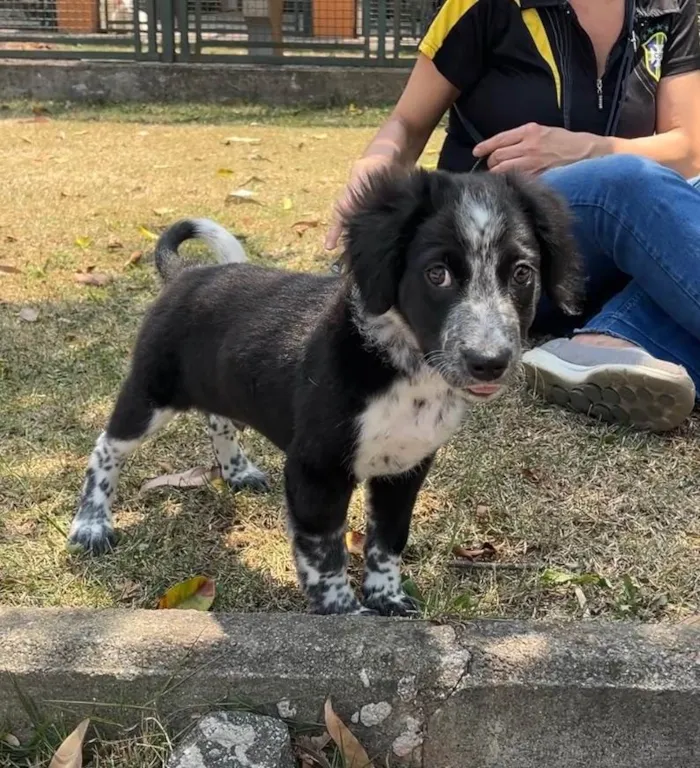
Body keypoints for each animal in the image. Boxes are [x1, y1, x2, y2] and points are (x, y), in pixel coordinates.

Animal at [68, 166, 584, 612]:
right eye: (437, 273)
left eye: (521, 273)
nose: (490, 363)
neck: (404, 371)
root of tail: (185, 275)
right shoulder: (315, 471)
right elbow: (324, 552)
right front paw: (342, 612)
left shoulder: (405, 467)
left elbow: (388, 540)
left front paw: (386, 598)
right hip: (151, 392)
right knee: (106, 447)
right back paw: (91, 524)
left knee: (217, 419)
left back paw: (236, 470)